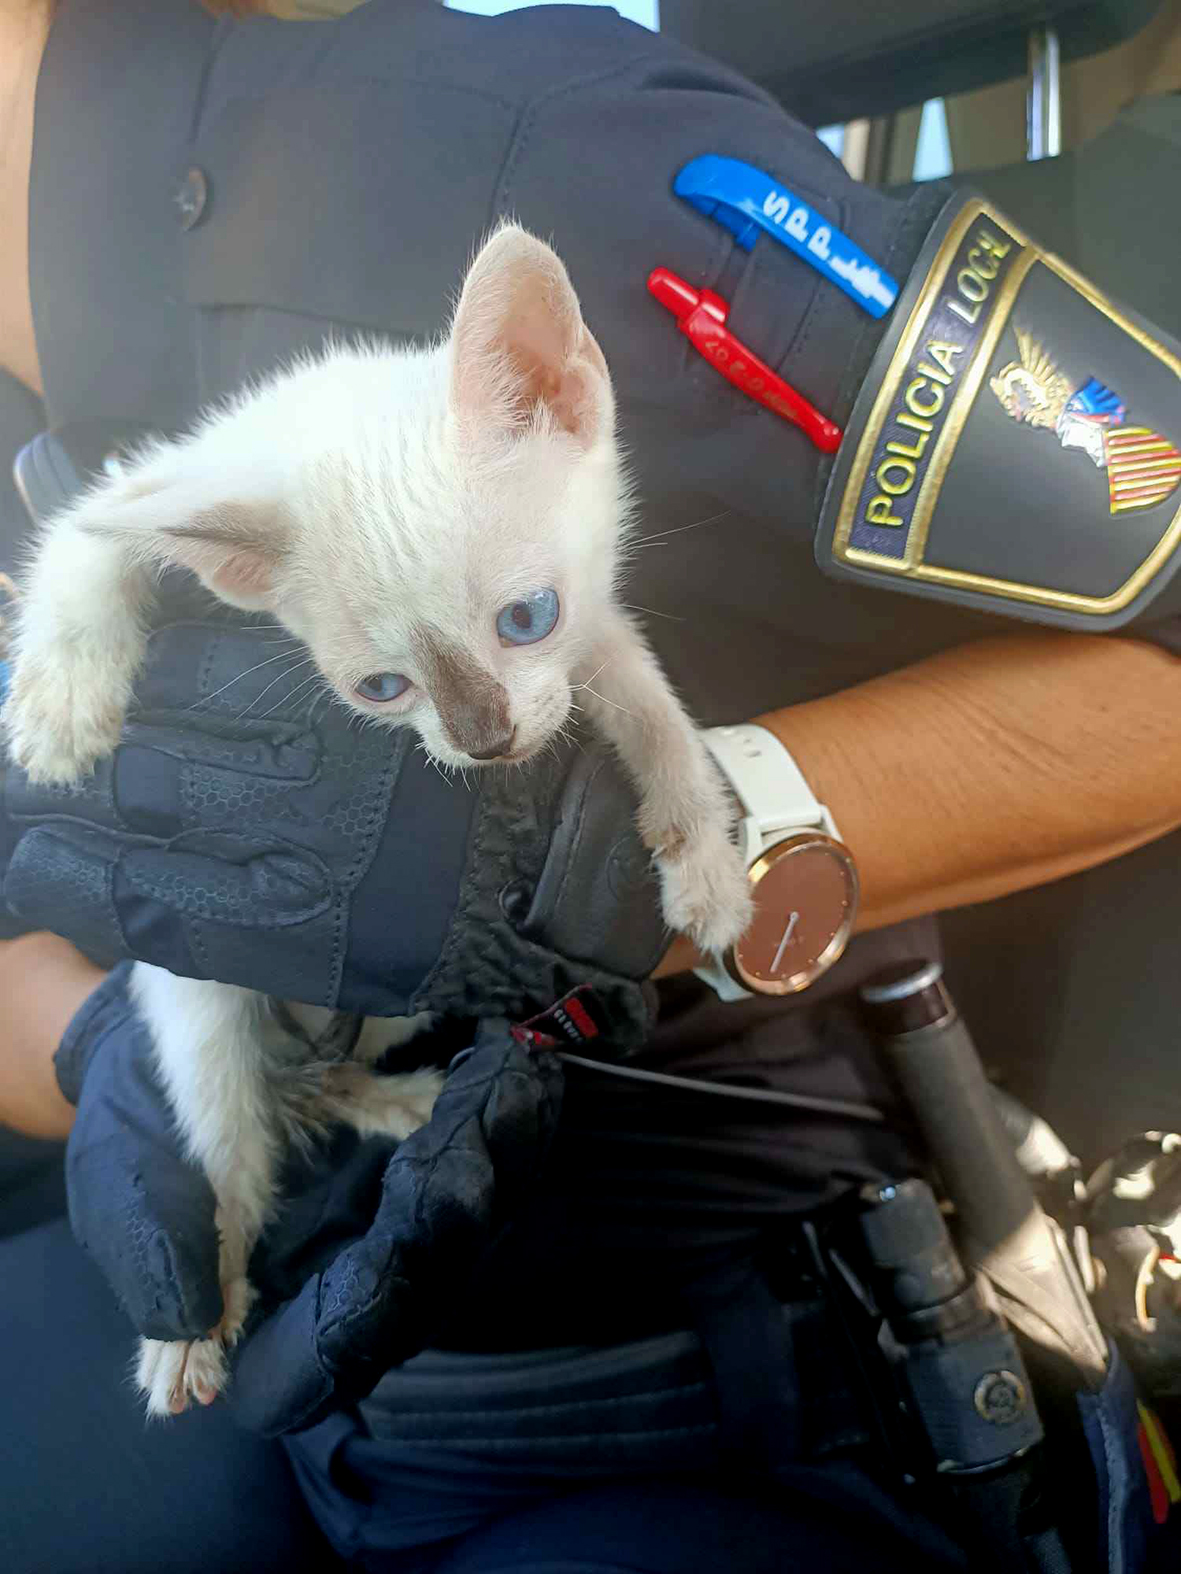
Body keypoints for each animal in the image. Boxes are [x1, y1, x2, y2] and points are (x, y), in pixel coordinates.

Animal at [4, 224, 752, 1415]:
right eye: (380, 690)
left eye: (526, 616)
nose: (486, 740)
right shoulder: (158, 475)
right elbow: (83, 537)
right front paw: (62, 698)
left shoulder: (589, 631)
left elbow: (651, 711)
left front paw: (704, 859)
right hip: (195, 1001)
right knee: (232, 1140)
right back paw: (197, 1310)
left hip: (391, 997)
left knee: (319, 1071)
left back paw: (395, 1104)